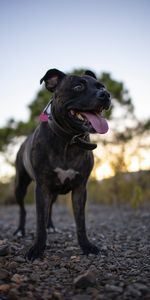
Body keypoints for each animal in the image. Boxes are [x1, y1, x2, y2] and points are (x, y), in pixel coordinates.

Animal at [13, 68, 110, 260]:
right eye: (78, 86)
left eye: (101, 86)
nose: (106, 94)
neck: (69, 140)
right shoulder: (42, 187)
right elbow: (39, 220)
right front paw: (37, 249)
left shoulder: (80, 188)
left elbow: (80, 222)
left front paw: (87, 246)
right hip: (21, 186)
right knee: (23, 209)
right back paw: (20, 230)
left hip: (54, 192)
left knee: (49, 208)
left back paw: (50, 226)